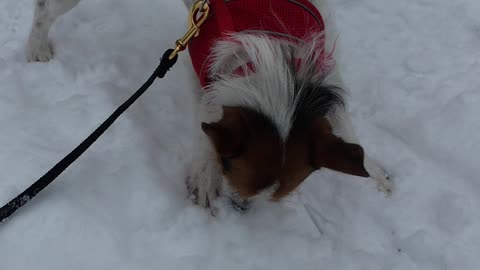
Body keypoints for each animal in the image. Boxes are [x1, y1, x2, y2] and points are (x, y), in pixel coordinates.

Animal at [27, 0, 394, 212]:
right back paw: (37, 46)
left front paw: (373, 171)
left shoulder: (325, 74)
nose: (241, 205)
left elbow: (345, 128)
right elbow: (206, 118)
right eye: (228, 166)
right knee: (44, 9)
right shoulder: (200, 62)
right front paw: (205, 175)